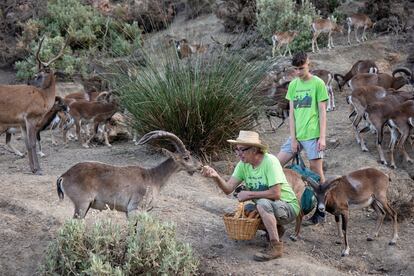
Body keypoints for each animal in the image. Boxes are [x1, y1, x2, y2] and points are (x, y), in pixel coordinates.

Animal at [0, 36, 67, 175]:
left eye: (40, 74)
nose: (29, 82)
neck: (44, 98)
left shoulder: (22, 122)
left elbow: (27, 143)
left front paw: (33, 168)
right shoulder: (30, 118)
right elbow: (32, 143)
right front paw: (39, 169)